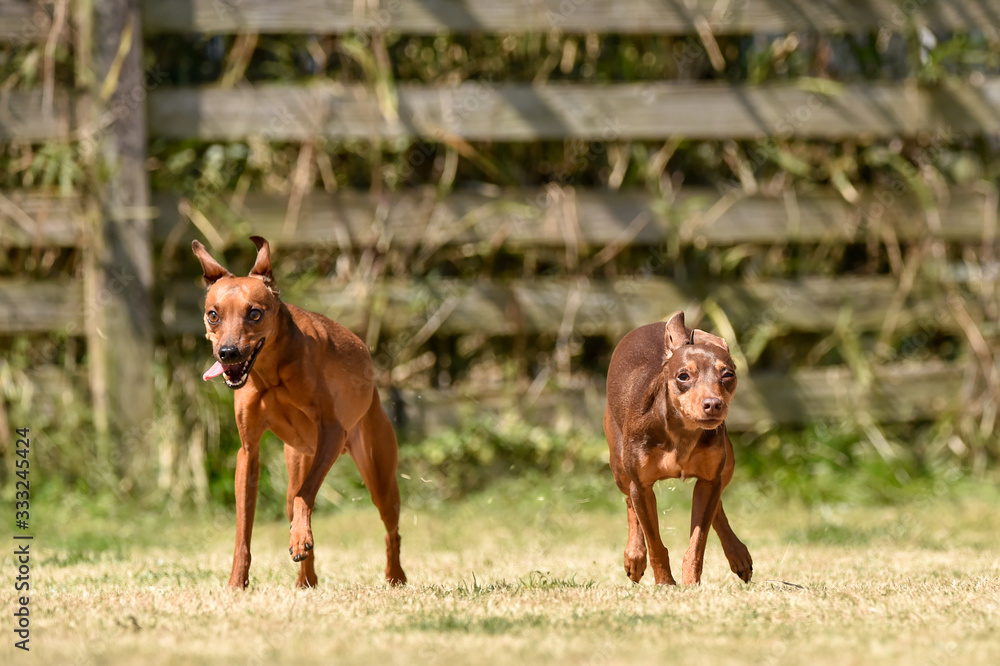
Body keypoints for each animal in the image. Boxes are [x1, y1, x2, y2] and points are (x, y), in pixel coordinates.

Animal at [191, 235, 402, 588]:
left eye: (255, 313)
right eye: (213, 315)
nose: (227, 353)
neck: (270, 373)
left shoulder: (332, 432)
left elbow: (307, 495)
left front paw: (300, 539)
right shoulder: (248, 452)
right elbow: (244, 527)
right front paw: (237, 583)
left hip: (378, 471)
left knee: (390, 529)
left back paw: (395, 576)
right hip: (298, 460)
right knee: (293, 500)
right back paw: (306, 581)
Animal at [600, 310, 752, 580]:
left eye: (728, 375)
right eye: (683, 376)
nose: (713, 404)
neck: (683, 431)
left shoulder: (709, 480)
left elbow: (697, 543)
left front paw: (690, 583)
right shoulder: (642, 487)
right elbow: (655, 545)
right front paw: (665, 584)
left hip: (727, 464)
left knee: (718, 505)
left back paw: (738, 554)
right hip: (618, 465)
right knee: (629, 501)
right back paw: (634, 556)